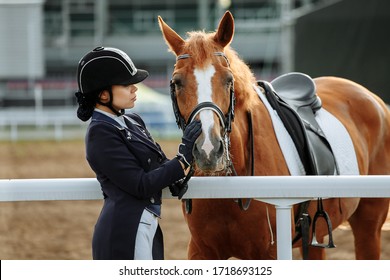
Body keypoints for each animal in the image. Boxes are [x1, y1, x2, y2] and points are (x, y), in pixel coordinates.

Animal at [158, 11, 390, 260]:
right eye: (177, 82)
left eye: (228, 80)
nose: (208, 150)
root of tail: (374, 100)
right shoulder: (201, 251)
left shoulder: (270, 251)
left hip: (368, 226)